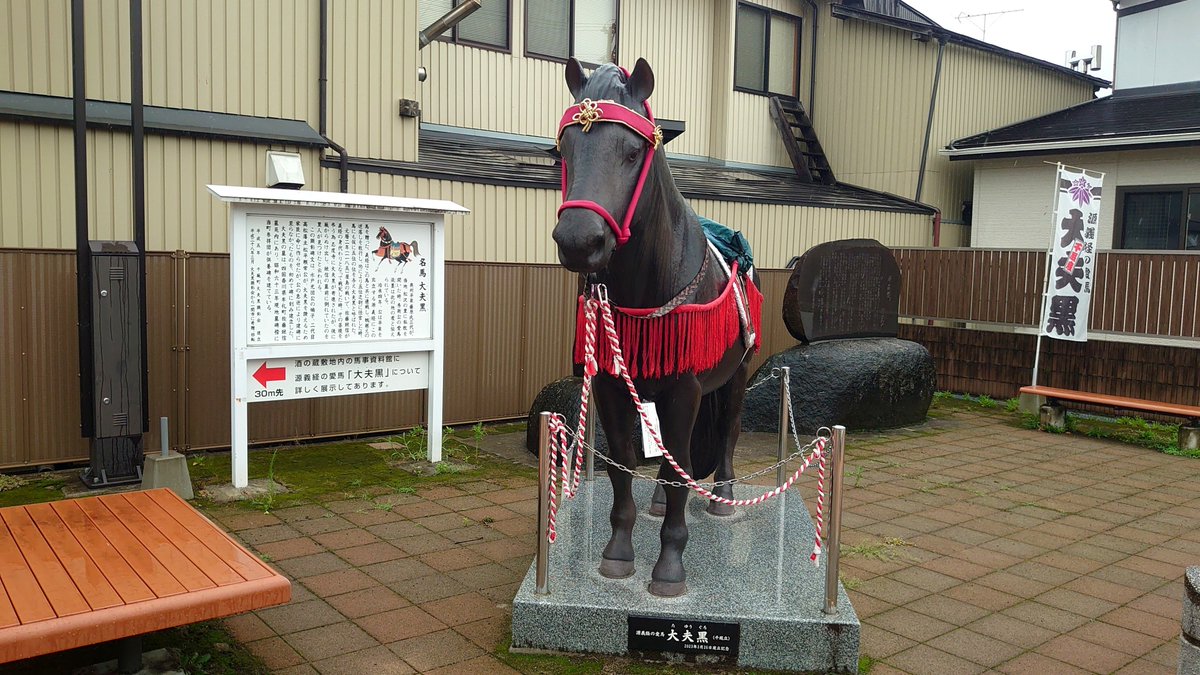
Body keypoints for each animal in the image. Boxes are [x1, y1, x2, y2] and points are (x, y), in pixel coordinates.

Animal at [553, 58, 762, 597]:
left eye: (631, 152)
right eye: (564, 150)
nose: (579, 241)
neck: (645, 284)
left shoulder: (684, 389)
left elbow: (677, 467)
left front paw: (669, 566)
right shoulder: (611, 383)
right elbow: (625, 465)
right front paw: (617, 553)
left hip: (736, 374)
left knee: (725, 433)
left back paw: (721, 495)